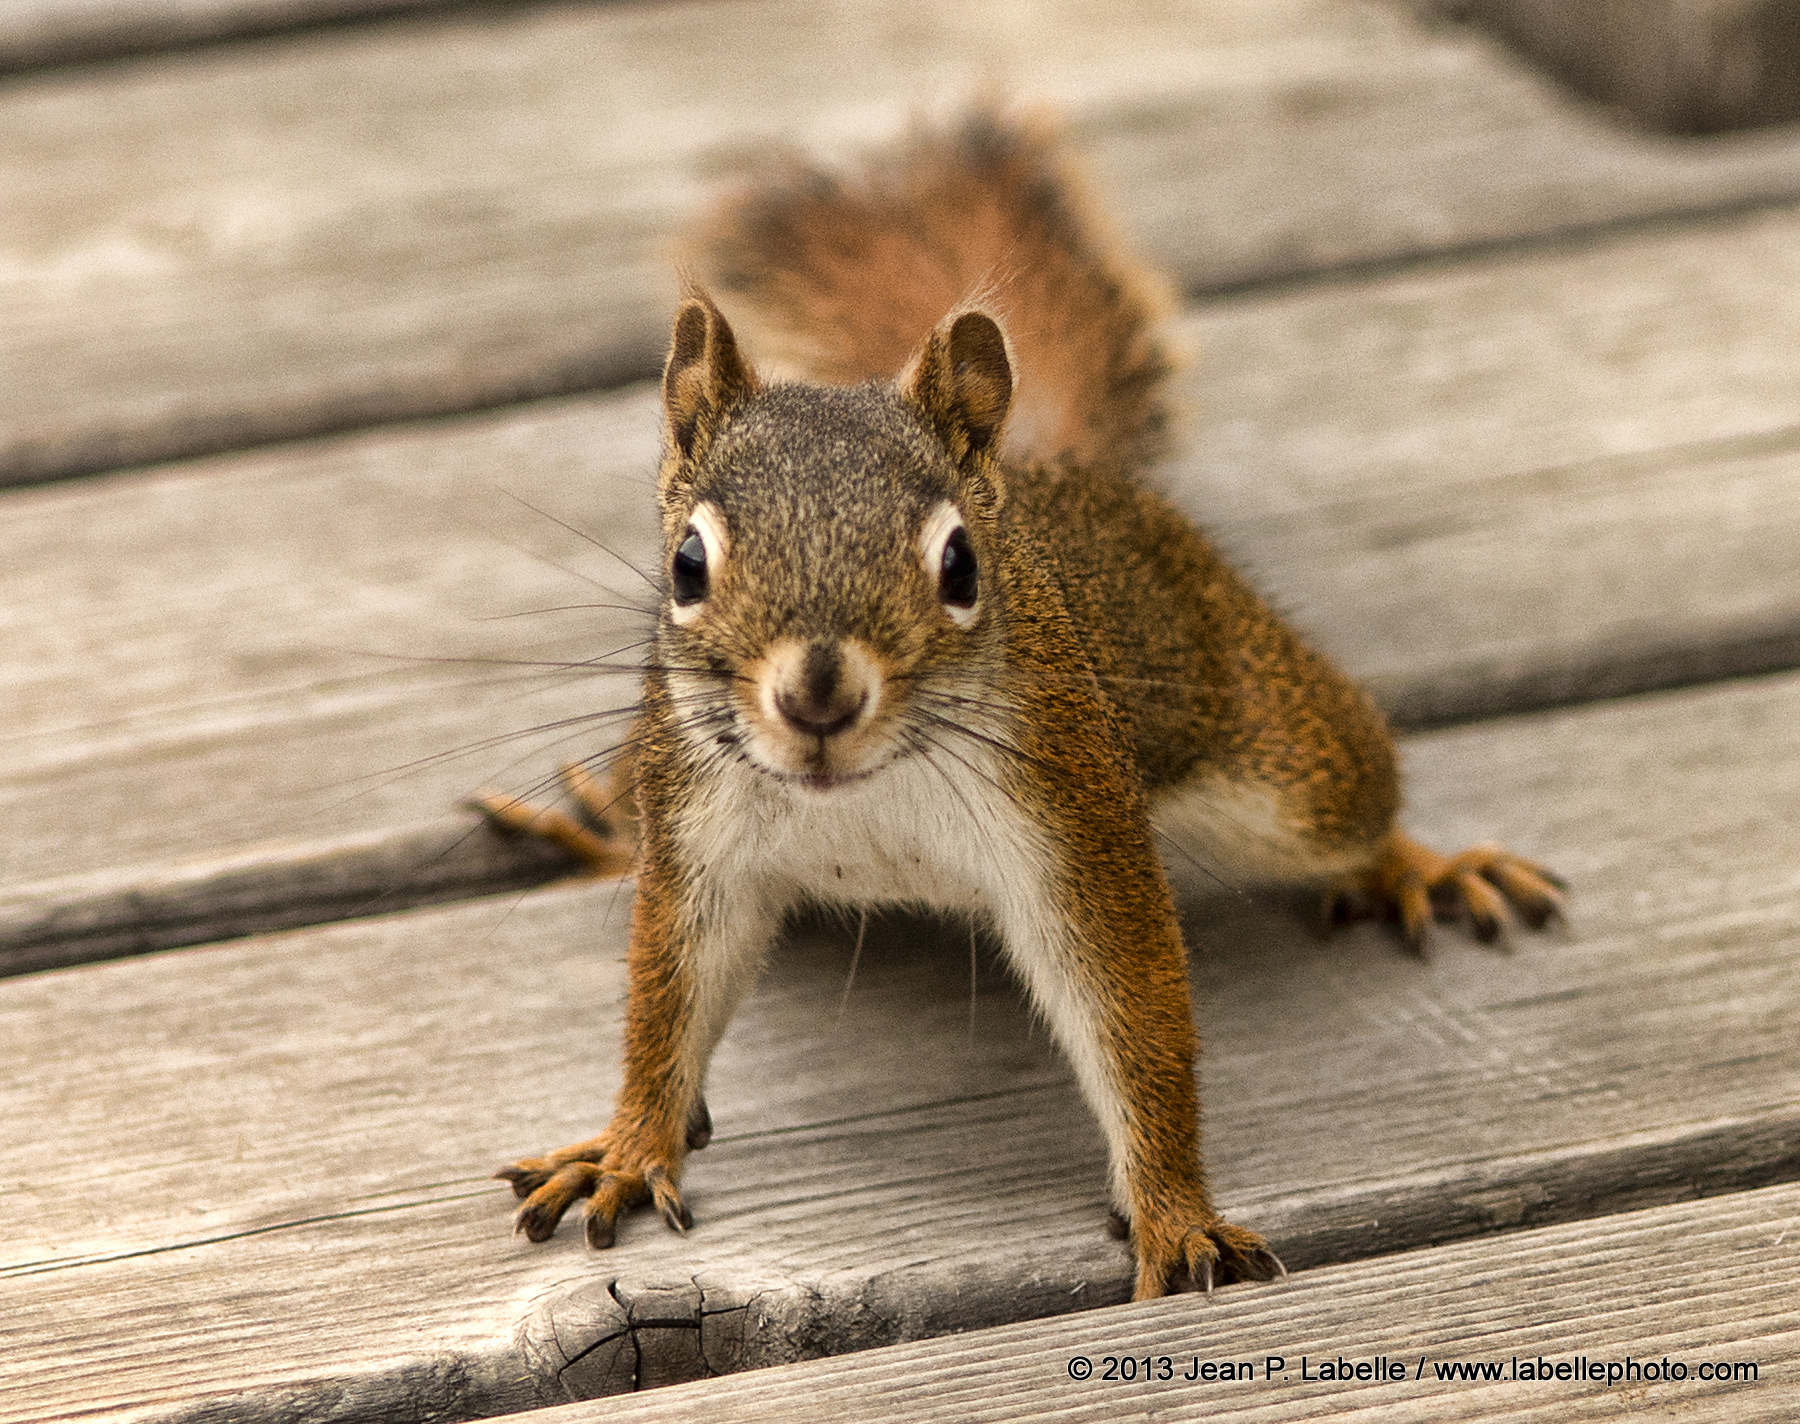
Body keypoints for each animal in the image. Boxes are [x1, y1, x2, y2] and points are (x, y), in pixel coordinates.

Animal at [478, 111, 1562, 1303]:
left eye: (960, 566)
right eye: (685, 564)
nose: (817, 695)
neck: (866, 795)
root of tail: (1055, 470)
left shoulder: (1077, 825)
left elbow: (1135, 1017)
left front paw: (1175, 1214)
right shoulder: (700, 836)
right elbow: (664, 1004)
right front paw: (628, 1149)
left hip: (1283, 760)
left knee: (1354, 804)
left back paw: (1422, 867)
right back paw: (603, 824)